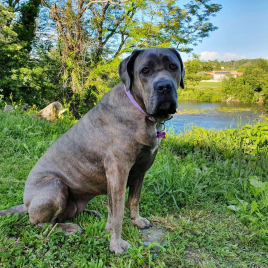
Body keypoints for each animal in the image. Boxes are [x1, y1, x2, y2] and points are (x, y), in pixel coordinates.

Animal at [0, 47, 184, 254]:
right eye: (145, 71)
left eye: (173, 67)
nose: (164, 86)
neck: (141, 110)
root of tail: (26, 203)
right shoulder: (118, 171)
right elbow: (118, 212)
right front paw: (116, 244)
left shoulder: (140, 170)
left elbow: (132, 201)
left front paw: (135, 222)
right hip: (55, 187)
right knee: (41, 223)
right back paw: (69, 228)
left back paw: (90, 213)